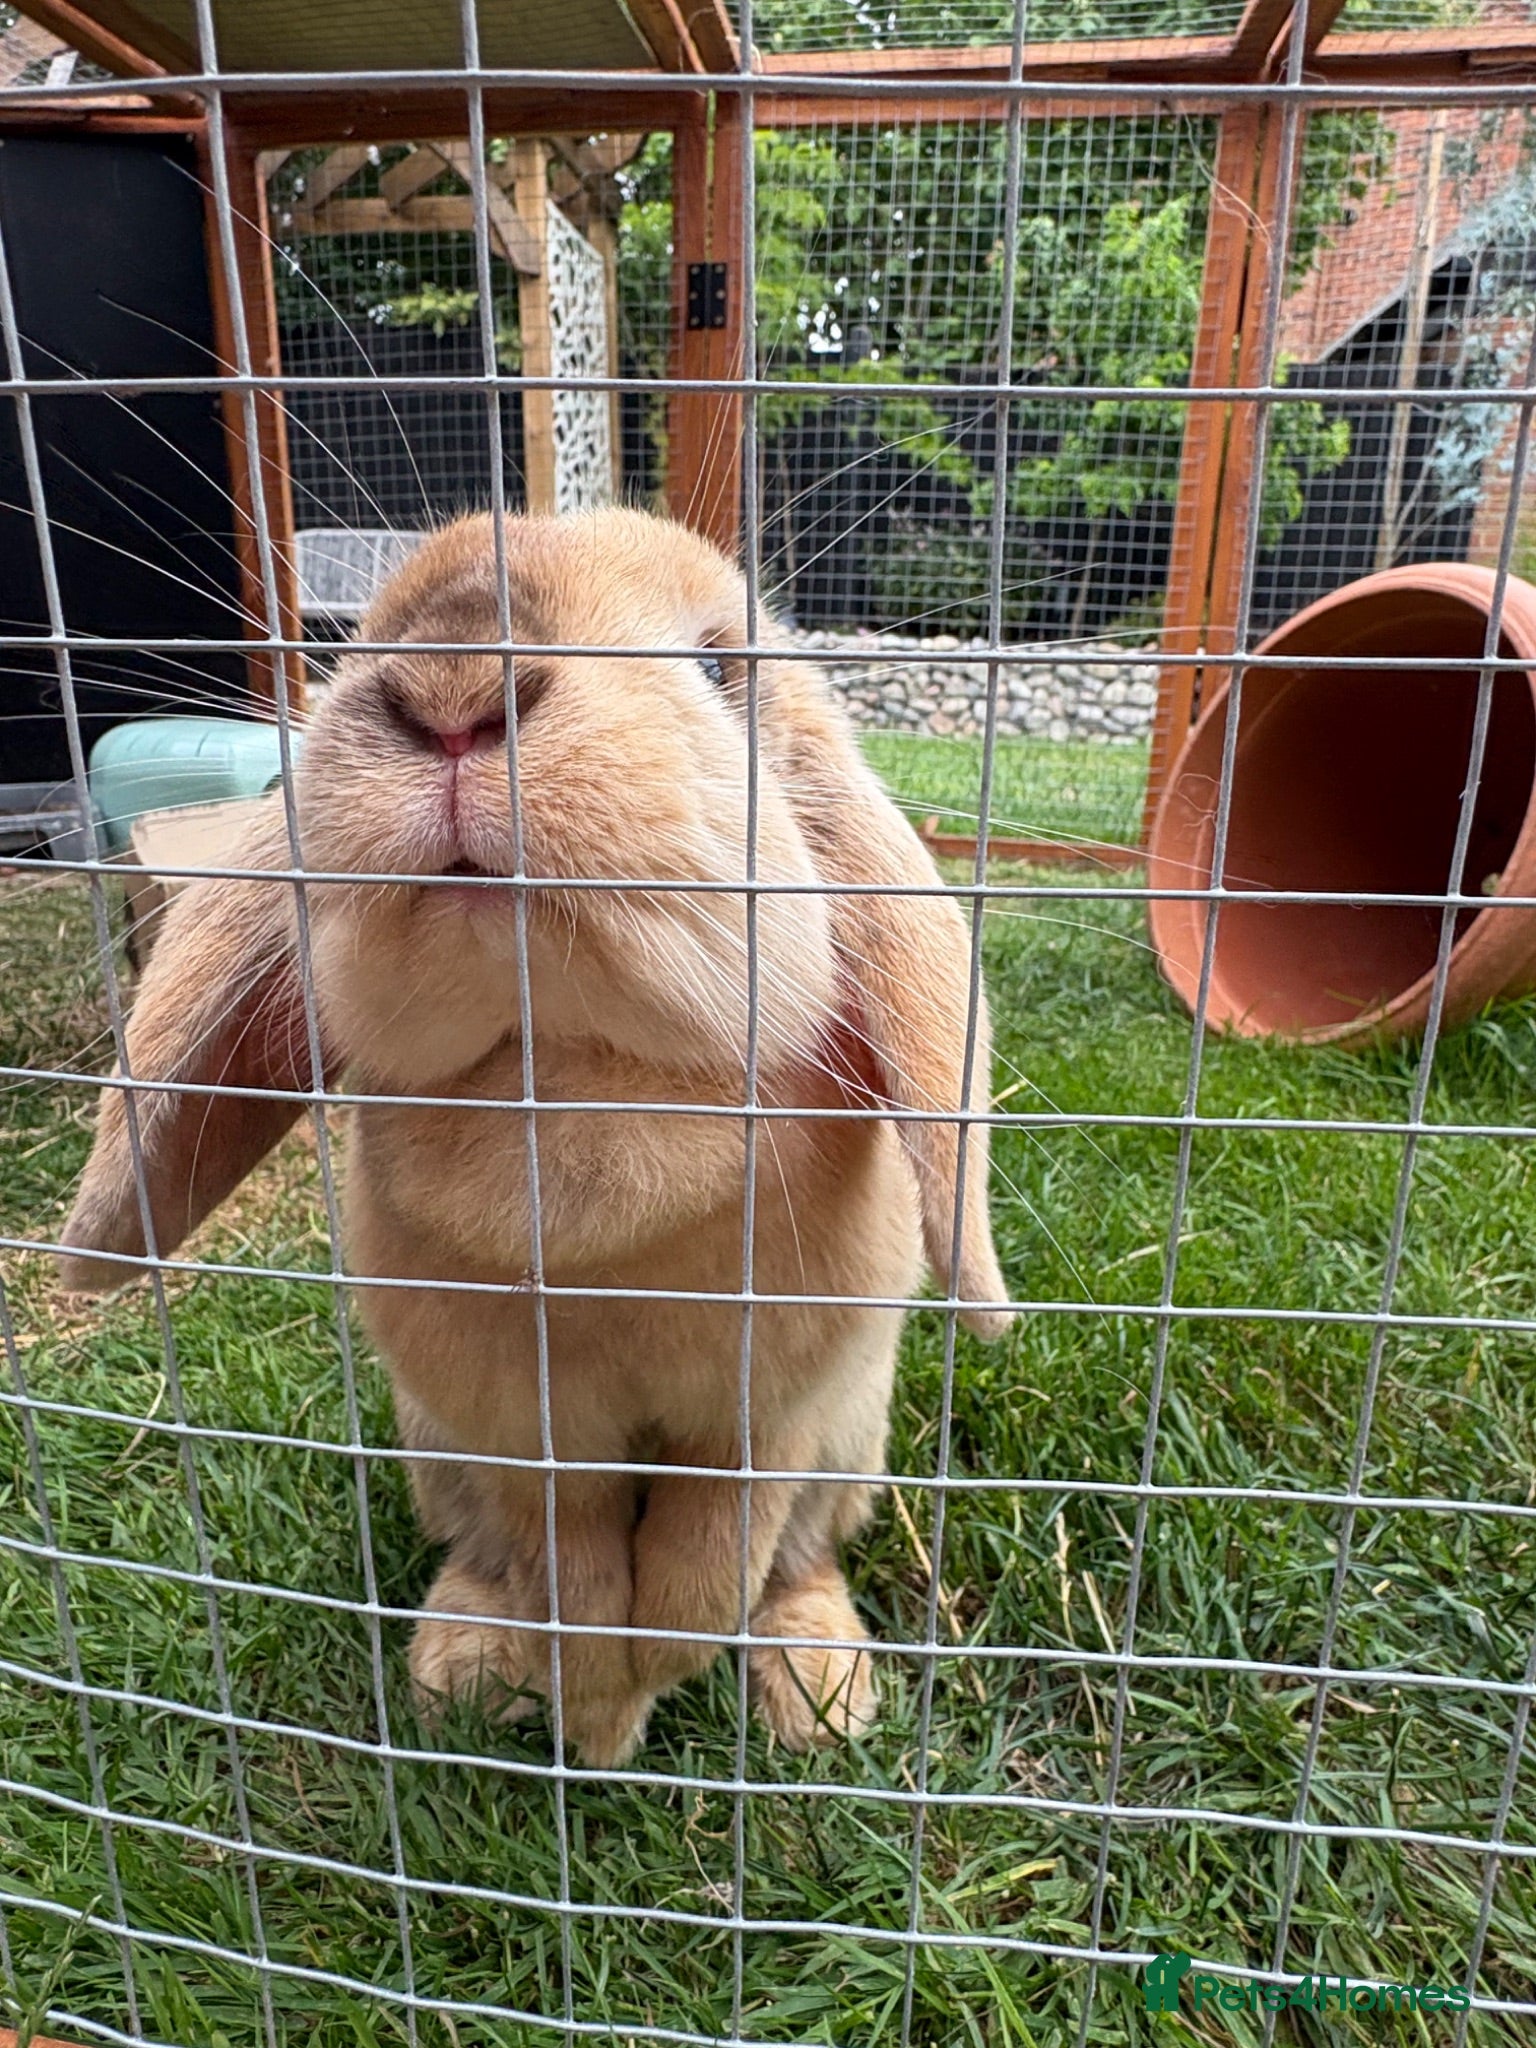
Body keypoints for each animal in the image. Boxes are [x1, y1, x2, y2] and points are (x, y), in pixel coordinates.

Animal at [58, 508, 1014, 1768]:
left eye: (722, 667)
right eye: (366, 639)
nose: (452, 690)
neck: (560, 1074)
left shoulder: (772, 1414)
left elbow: (712, 1555)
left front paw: (649, 1678)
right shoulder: (520, 1433)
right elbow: (570, 1561)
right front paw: (597, 1704)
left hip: (849, 1447)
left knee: (794, 1564)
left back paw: (818, 1697)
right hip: (438, 1451)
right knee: (491, 1556)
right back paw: (465, 1665)